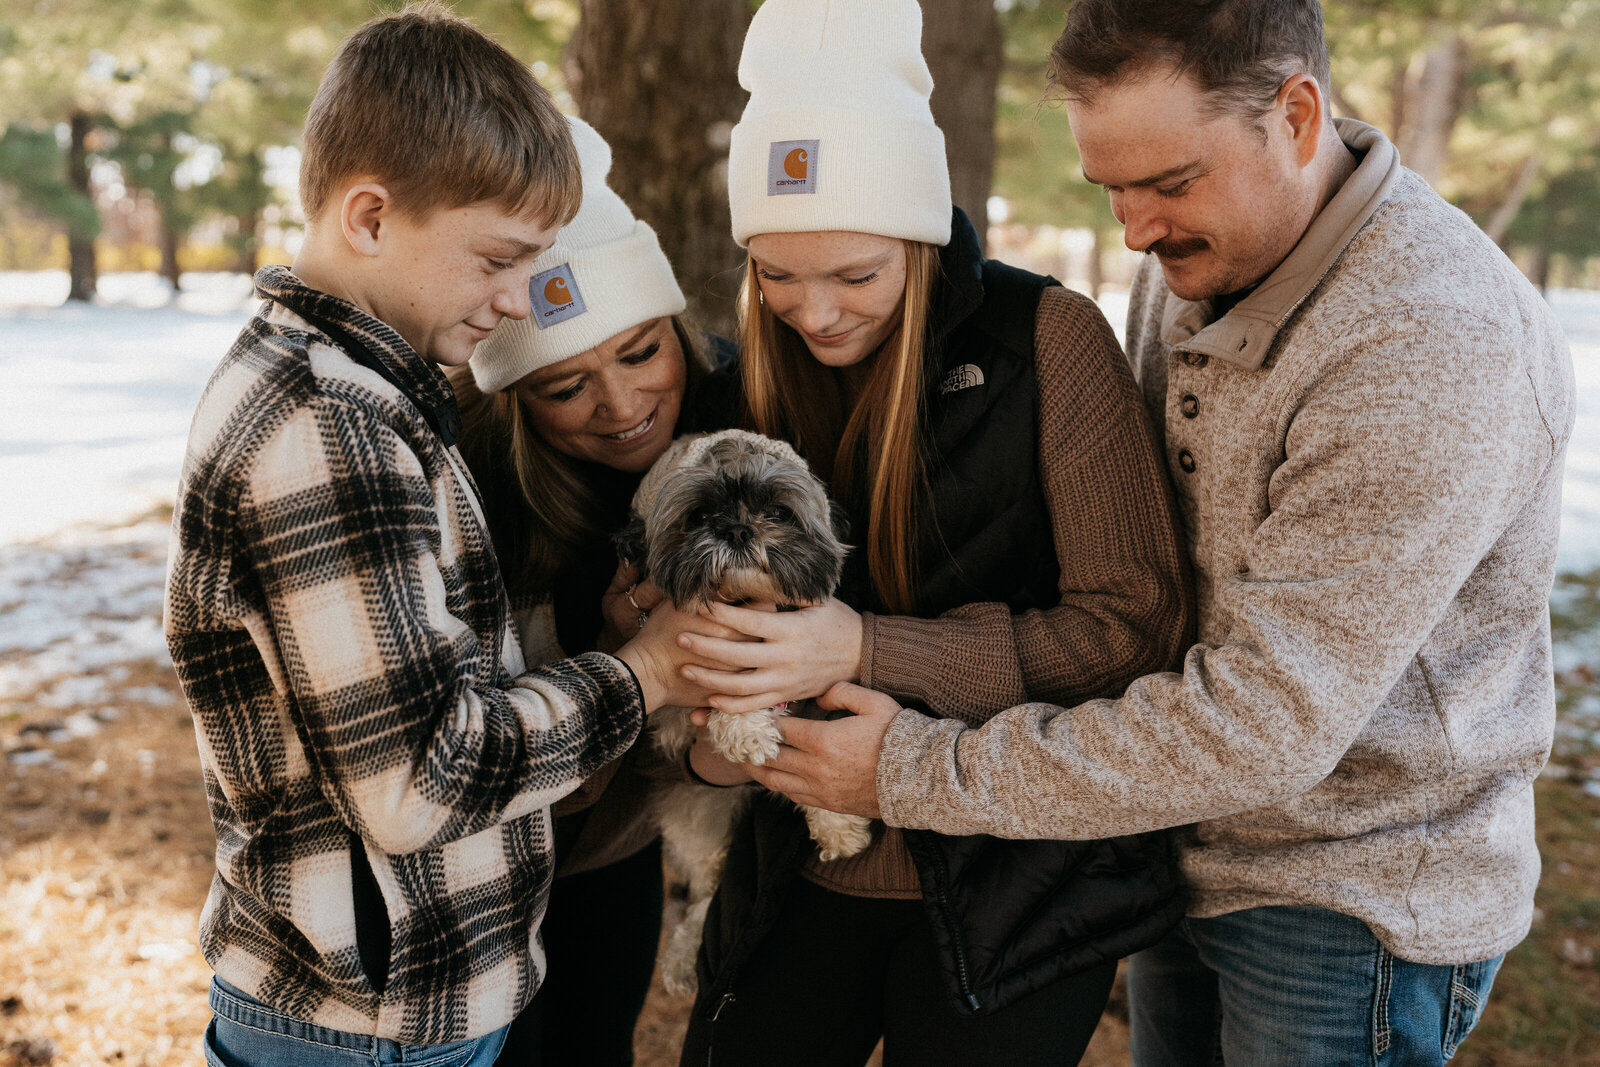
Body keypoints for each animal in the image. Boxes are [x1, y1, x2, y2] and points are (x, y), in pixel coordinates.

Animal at [617, 428, 876, 998]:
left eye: (778, 511)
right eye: (696, 515)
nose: (736, 529)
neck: (745, 607)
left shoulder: (818, 686)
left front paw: (839, 825)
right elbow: (729, 694)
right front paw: (748, 732)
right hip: (699, 815)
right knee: (706, 889)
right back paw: (682, 957)